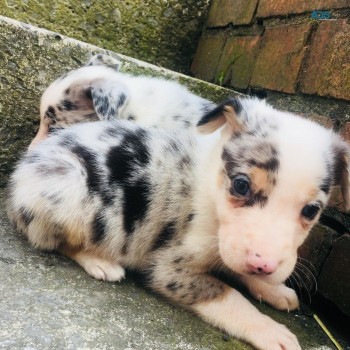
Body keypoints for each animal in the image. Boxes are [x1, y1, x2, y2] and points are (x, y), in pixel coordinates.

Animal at [7, 96, 350, 350]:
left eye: (311, 210)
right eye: (241, 185)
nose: (264, 264)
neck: (212, 195)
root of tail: (23, 170)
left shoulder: (229, 250)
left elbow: (238, 269)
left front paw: (274, 288)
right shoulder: (169, 270)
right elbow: (230, 296)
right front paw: (271, 330)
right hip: (68, 190)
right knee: (55, 240)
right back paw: (100, 262)